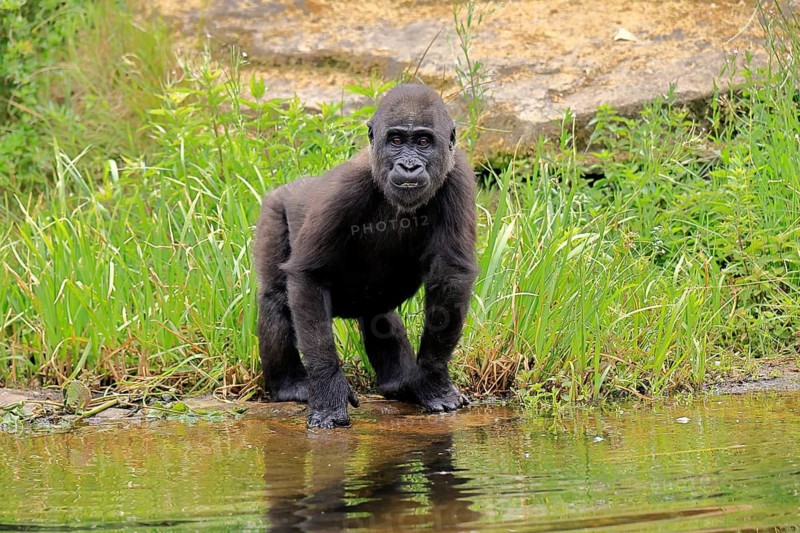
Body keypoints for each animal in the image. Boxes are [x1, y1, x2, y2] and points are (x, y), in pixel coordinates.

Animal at [253, 84, 478, 428]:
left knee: (379, 314)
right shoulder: (344, 189)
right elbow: (309, 275)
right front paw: (328, 392)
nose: (409, 166)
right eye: (396, 141)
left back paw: (398, 383)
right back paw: (290, 385)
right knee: (276, 297)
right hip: (274, 208)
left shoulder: (459, 178)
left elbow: (450, 277)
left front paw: (432, 379)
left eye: (423, 142)